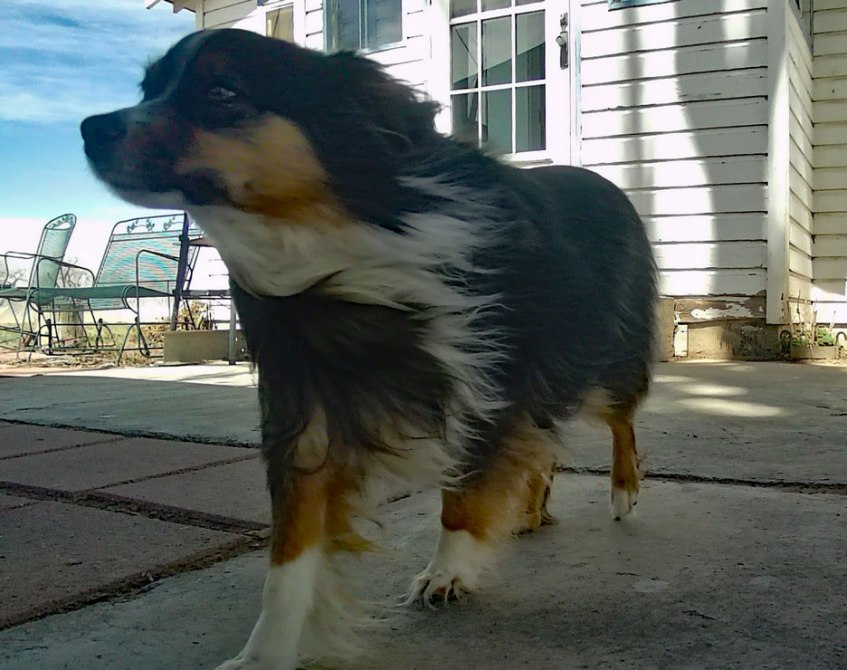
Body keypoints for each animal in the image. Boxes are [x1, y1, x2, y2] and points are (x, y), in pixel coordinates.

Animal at [81, 28, 657, 670]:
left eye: (223, 92)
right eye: (146, 89)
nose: (89, 128)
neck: (333, 232)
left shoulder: (489, 373)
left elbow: (463, 492)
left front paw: (448, 570)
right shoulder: (302, 403)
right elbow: (291, 549)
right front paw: (265, 652)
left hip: (602, 357)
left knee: (620, 420)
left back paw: (623, 490)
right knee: (543, 440)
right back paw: (531, 510)